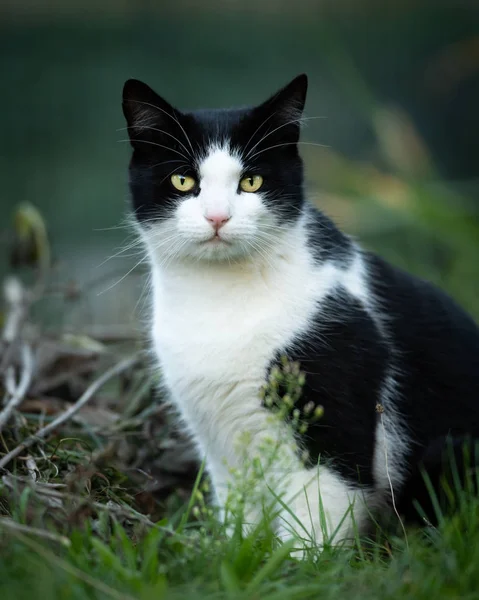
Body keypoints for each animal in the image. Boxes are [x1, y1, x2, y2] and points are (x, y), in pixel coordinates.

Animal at [122, 74, 479, 548]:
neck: (221, 299)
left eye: (251, 181)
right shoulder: (221, 444)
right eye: (182, 180)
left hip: (448, 450)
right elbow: (241, 519)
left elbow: (316, 523)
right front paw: (238, 552)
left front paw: (299, 563)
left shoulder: (331, 427)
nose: (217, 217)